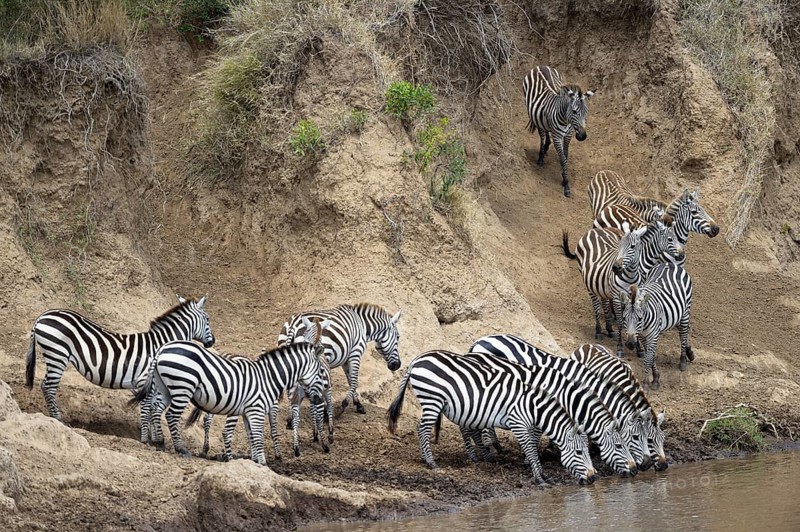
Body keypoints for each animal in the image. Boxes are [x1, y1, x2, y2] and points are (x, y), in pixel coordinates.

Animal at [25, 295, 214, 433]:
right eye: (207, 319)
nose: (212, 342)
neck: (161, 345)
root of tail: (43, 315)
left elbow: (150, 409)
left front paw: (152, 436)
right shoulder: (147, 381)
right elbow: (147, 408)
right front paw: (149, 438)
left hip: (54, 356)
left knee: (45, 386)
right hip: (57, 355)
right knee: (49, 387)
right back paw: (58, 420)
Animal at [130, 335, 328, 465]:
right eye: (321, 372)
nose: (318, 399)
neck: (268, 377)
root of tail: (162, 349)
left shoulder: (248, 412)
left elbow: (251, 436)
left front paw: (255, 462)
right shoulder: (256, 410)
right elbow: (258, 437)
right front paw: (263, 463)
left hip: (165, 388)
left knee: (155, 409)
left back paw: (159, 442)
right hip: (182, 387)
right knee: (171, 415)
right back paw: (180, 448)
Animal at [277, 303, 401, 440]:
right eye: (398, 337)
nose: (397, 365)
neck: (362, 325)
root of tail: (293, 324)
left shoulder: (345, 359)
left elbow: (350, 380)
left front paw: (358, 404)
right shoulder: (355, 353)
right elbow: (354, 382)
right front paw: (342, 406)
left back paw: (290, 420)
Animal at [387, 350, 597, 486]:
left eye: (587, 452)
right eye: (579, 452)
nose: (593, 478)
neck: (533, 407)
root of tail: (417, 359)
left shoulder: (528, 425)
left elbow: (533, 448)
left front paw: (543, 475)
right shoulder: (518, 422)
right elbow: (530, 449)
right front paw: (539, 478)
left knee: (421, 427)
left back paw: (425, 458)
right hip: (432, 398)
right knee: (423, 428)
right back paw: (431, 463)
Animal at [523, 65, 595, 197]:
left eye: (586, 112)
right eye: (574, 111)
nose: (582, 136)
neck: (566, 120)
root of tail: (540, 66)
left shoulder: (568, 135)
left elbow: (565, 156)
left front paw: (564, 177)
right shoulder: (557, 136)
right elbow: (562, 159)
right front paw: (566, 184)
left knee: (545, 128)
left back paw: (546, 146)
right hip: (532, 112)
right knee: (541, 133)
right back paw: (541, 156)